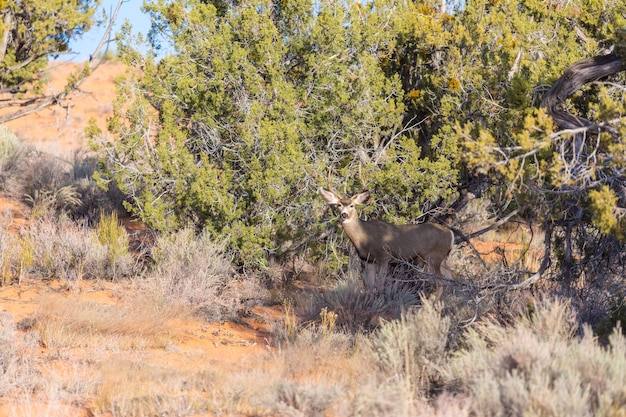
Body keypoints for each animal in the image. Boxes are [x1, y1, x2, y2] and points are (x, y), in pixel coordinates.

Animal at [320, 188, 450, 290]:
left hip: (434, 257)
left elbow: (380, 284)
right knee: (450, 277)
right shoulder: (368, 260)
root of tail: (450, 233)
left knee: (442, 282)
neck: (364, 236)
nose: (344, 215)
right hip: (441, 259)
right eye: (339, 205)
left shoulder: (384, 256)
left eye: (352, 205)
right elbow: (370, 285)